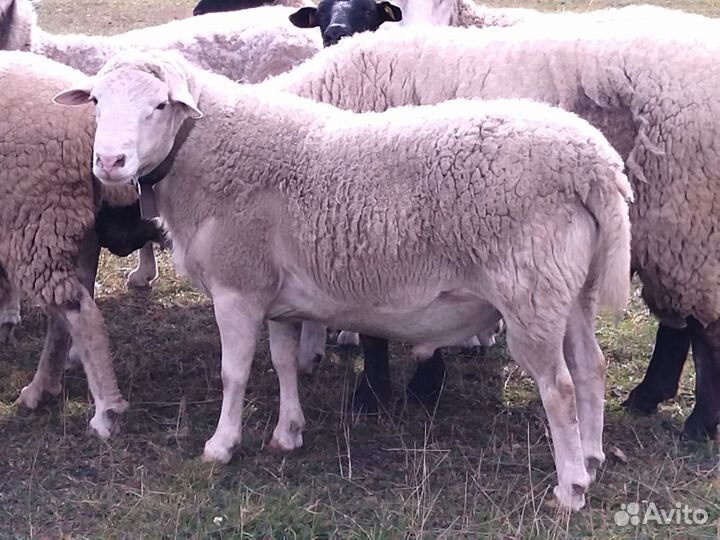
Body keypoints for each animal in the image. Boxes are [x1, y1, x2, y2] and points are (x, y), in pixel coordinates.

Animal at [0, 51, 128, 437]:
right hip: (69, 226)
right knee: (66, 311)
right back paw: (41, 388)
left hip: (32, 219)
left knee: (79, 312)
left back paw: (107, 411)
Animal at [54, 49, 633, 511]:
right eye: (97, 101)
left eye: (159, 105)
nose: (110, 161)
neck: (202, 150)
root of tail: (594, 162)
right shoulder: (275, 296)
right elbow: (283, 363)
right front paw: (287, 433)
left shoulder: (238, 285)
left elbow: (234, 373)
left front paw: (221, 445)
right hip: (569, 290)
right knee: (590, 369)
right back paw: (591, 457)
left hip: (528, 292)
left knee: (558, 388)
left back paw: (571, 488)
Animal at [261, 17, 720, 438]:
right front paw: (420, 385)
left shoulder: (373, 232)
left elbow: (375, 329)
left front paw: (377, 396)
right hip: (671, 234)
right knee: (679, 323)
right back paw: (649, 395)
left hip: (691, 221)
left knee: (704, 330)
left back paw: (700, 422)